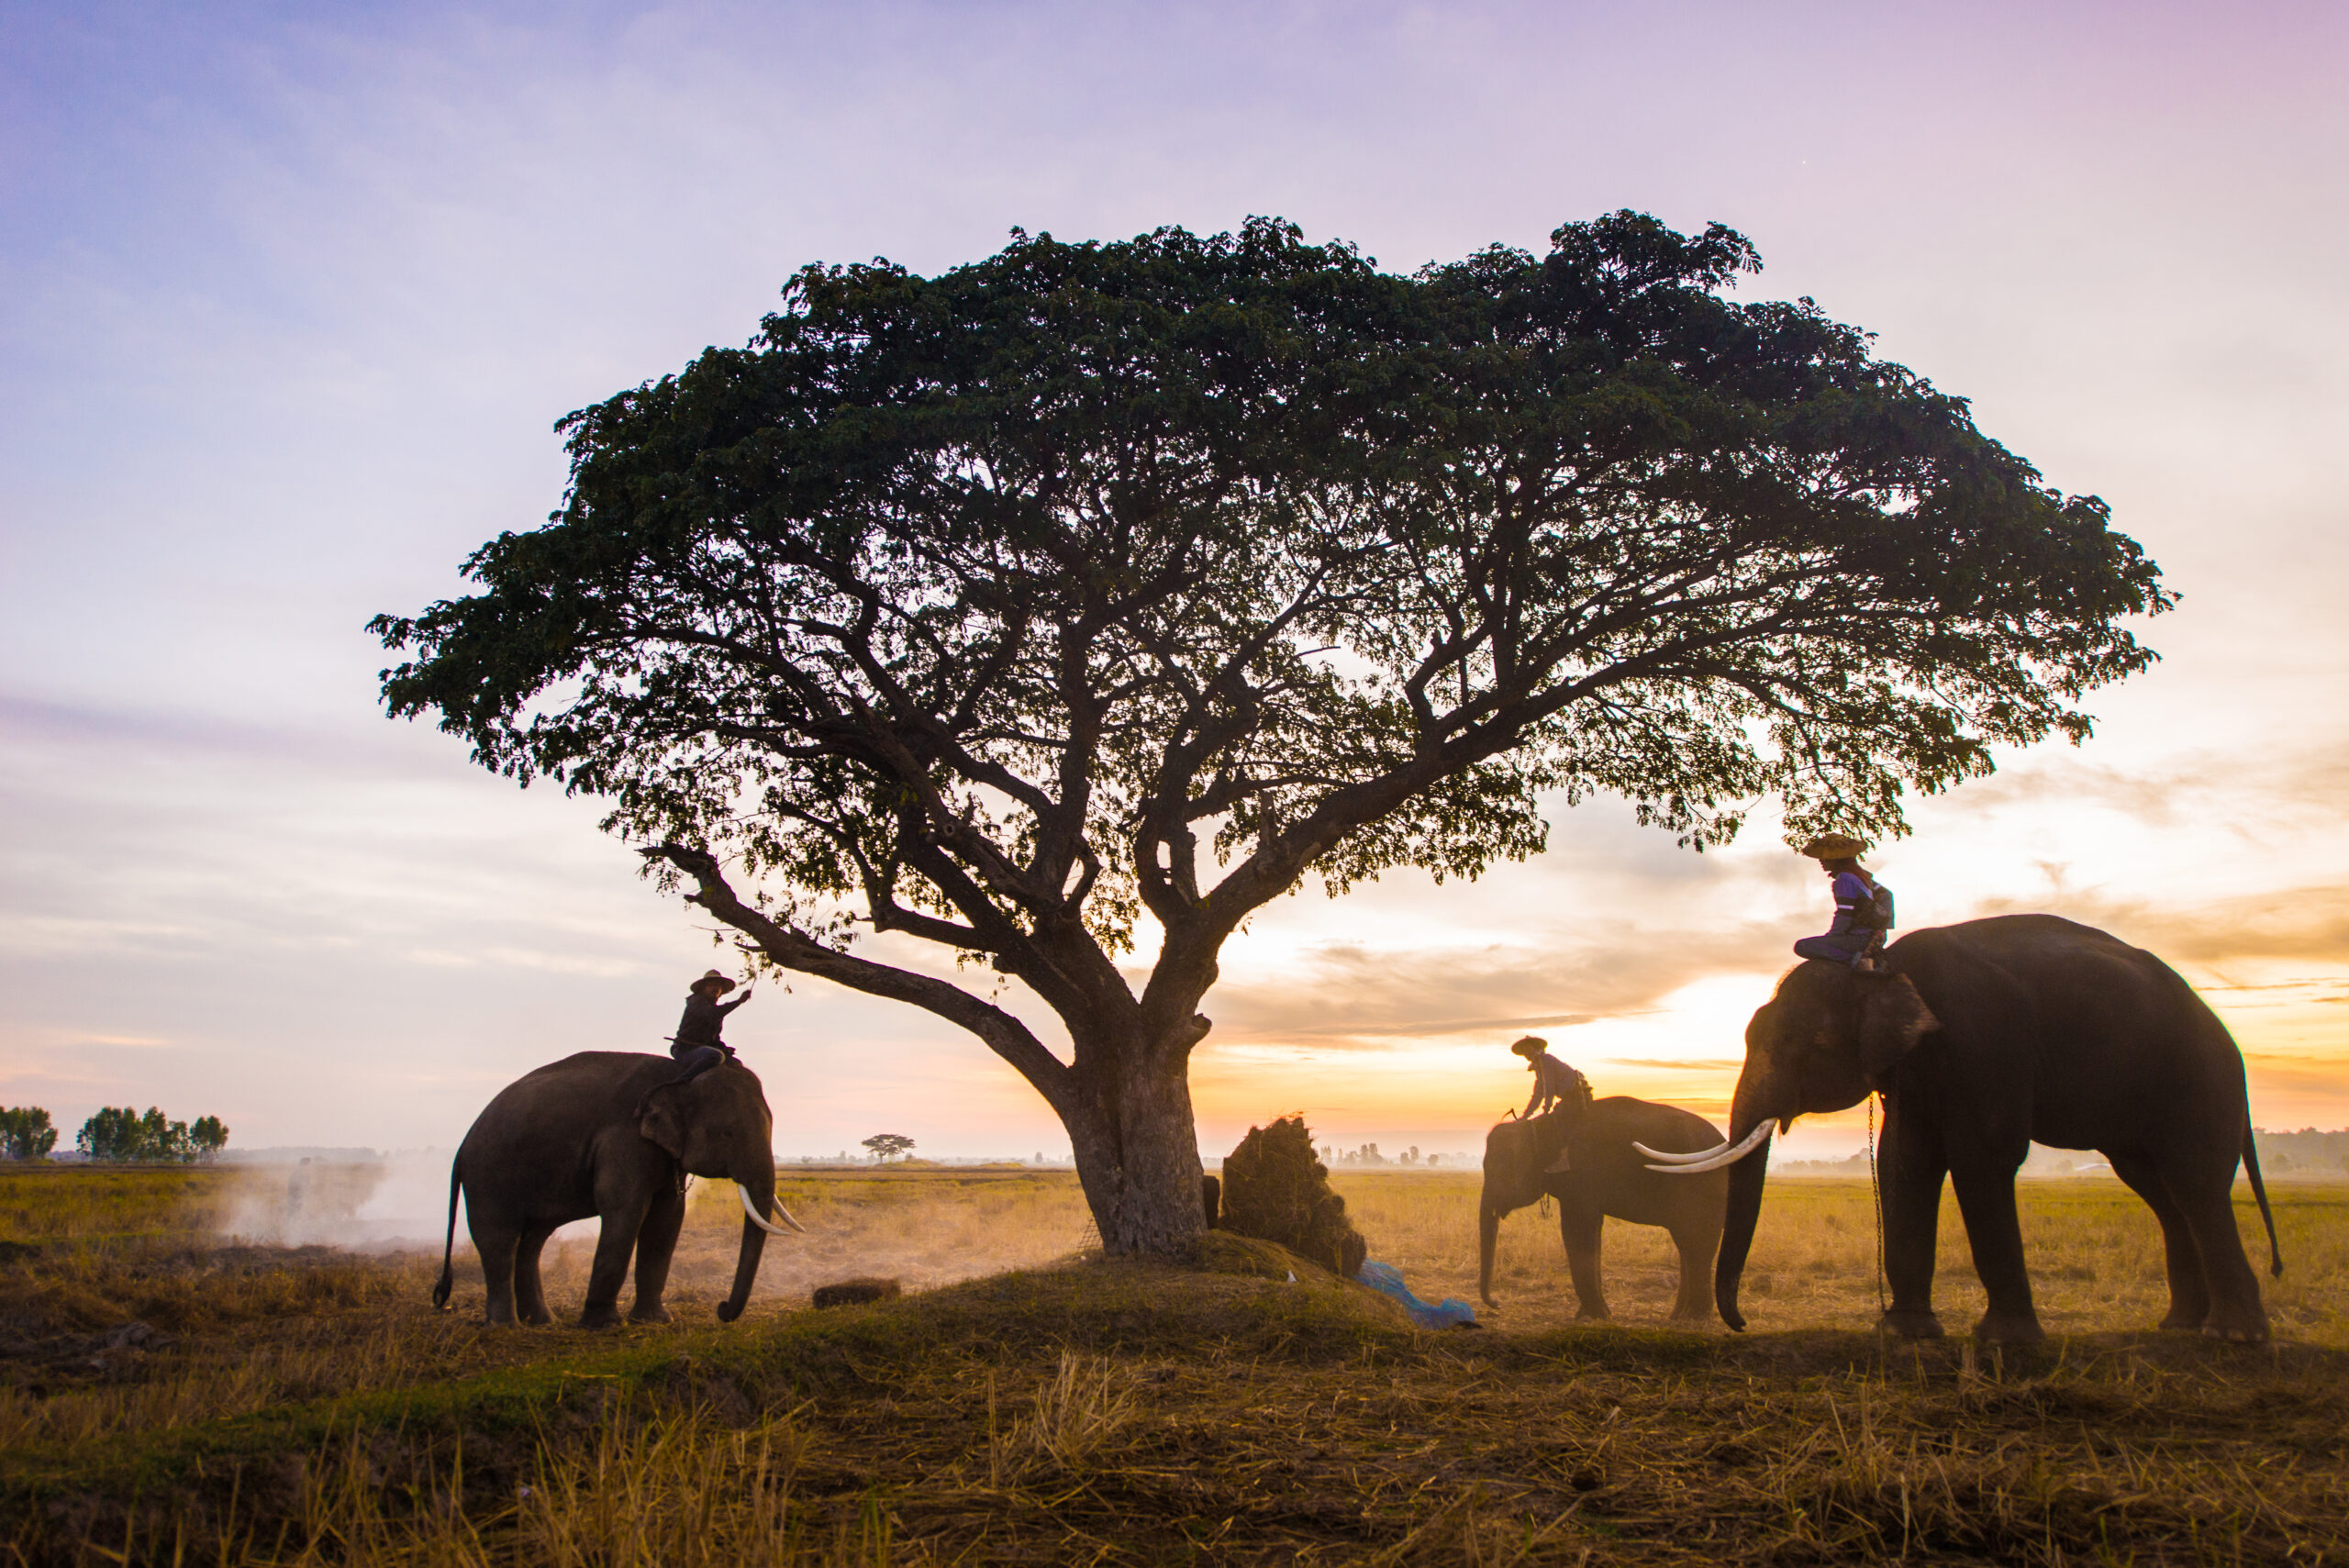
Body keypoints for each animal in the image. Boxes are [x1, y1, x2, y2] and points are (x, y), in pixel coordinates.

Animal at [434, 1051, 807, 1323]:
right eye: (727, 1133)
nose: (721, 1308)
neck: (679, 1077)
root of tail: (461, 1147)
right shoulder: (625, 1138)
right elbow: (626, 1210)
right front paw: (605, 1323)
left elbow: (667, 1218)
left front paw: (655, 1321)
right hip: (488, 1177)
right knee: (500, 1240)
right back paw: (506, 1326)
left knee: (533, 1240)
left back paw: (542, 1321)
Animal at [1644, 919, 2283, 1351]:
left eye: (1805, 1047)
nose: (1741, 1323)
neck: (1880, 966)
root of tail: (2225, 1035)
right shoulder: (1916, 1067)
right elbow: (1906, 1160)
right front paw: (1907, 1333)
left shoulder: (1984, 1039)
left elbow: (1982, 1155)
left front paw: (2004, 1342)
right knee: (2159, 1191)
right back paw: (2180, 1326)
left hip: (2199, 1079)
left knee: (2193, 1183)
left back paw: (2234, 1337)